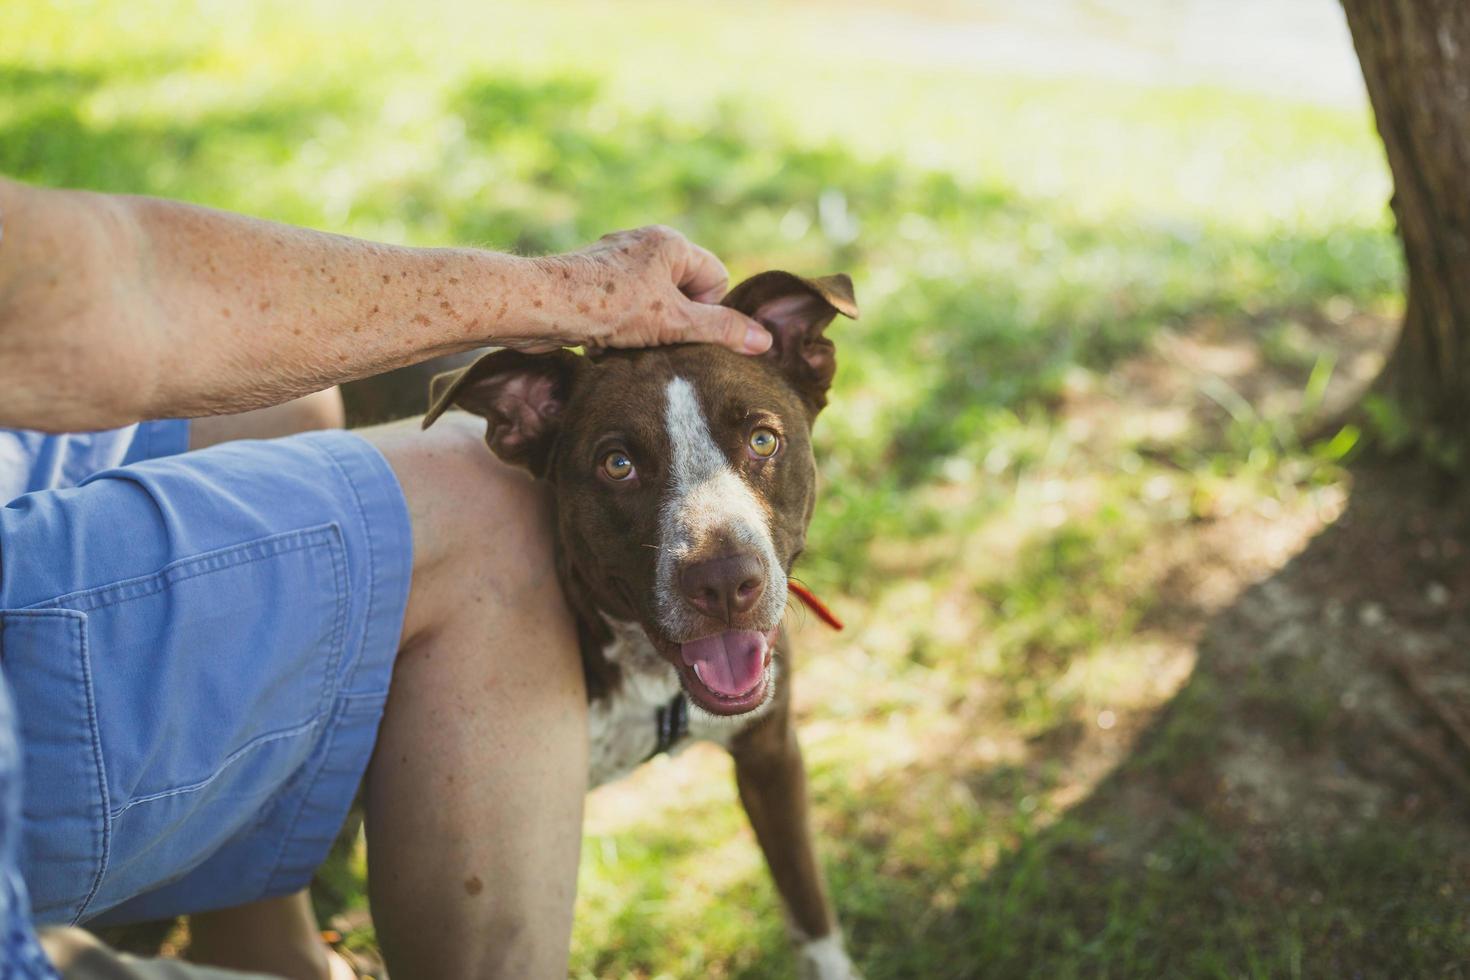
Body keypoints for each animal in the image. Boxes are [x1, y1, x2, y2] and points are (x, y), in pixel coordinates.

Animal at [420, 270, 858, 980]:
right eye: (617, 464)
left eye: (763, 441)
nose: (724, 583)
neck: (652, 681)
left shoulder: (772, 756)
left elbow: (810, 906)